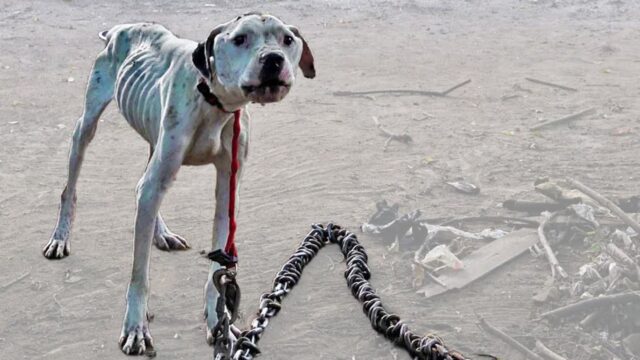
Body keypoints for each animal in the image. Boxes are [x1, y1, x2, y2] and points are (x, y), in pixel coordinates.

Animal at [41, 13, 316, 354]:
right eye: (240, 39)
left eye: (287, 40)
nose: (274, 60)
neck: (213, 102)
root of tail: (122, 28)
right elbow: (139, 275)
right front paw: (135, 327)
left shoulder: (227, 191)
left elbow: (216, 271)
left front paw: (217, 321)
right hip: (87, 125)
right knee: (73, 185)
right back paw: (60, 237)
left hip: (153, 140)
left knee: (142, 187)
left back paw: (161, 233)